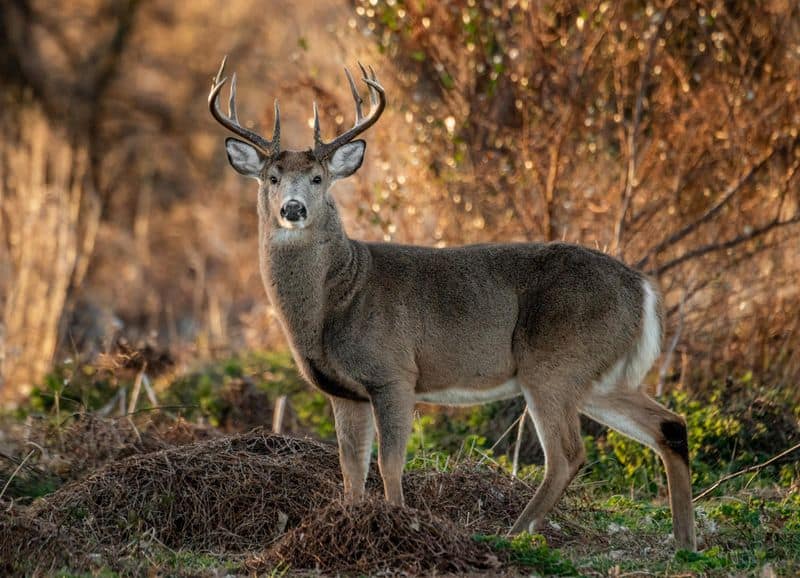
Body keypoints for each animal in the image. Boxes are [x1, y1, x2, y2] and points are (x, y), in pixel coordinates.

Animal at [208, 57, 696, 551]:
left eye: (318, 178)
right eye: (271, 178)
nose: (293, 209)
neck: (337, 298)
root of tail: (643, 287)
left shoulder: (394, 372)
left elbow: (388, 463)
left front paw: (397, 524)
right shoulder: (344, 391)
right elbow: (350, 469)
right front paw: (348, 522)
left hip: (554, 362)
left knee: (567, 454)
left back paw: (512, 534)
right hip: (599, 374)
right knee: (670, 426)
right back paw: (685, 543)